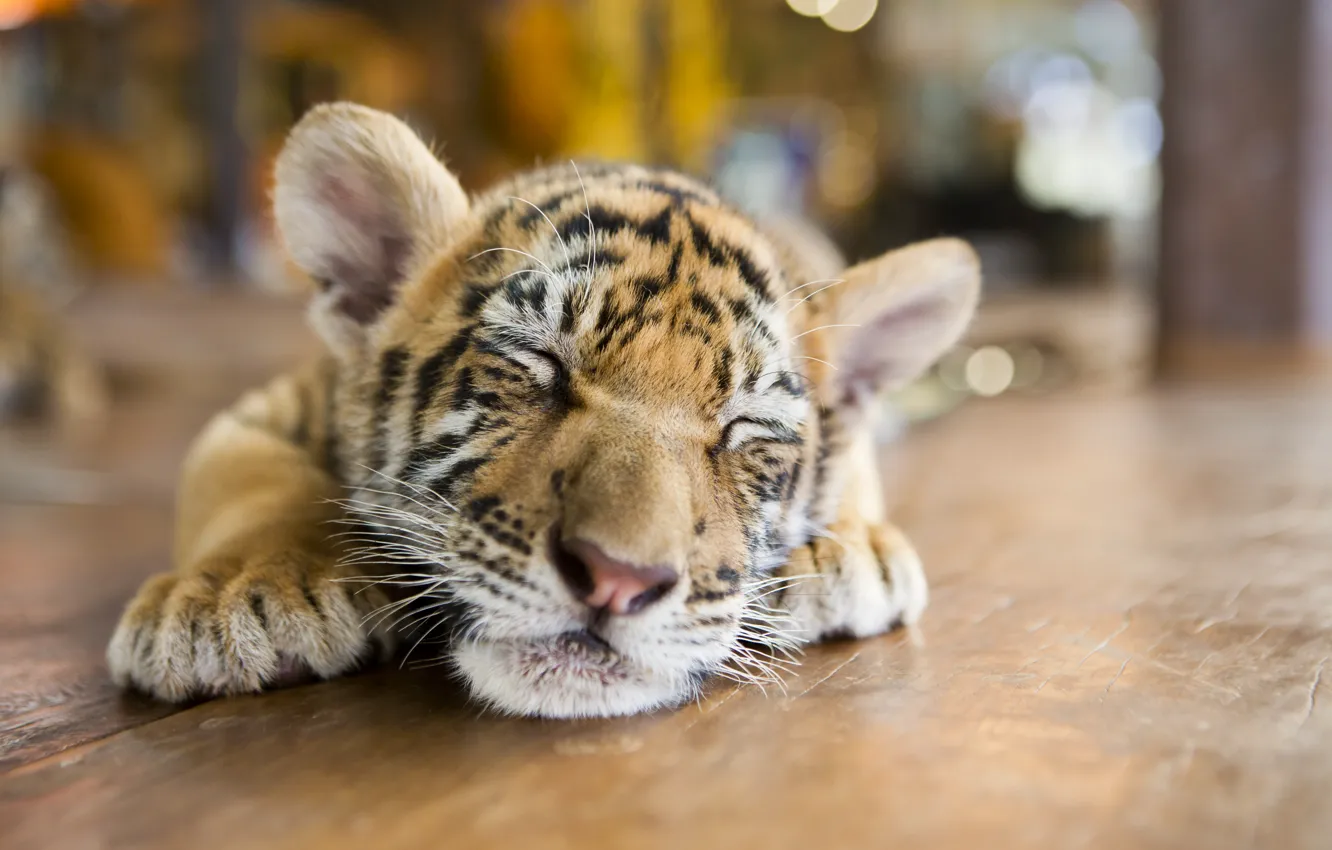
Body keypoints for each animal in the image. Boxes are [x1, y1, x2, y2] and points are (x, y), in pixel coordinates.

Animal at [106, 103, 980, 718]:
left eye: (742, 430)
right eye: (539, 364)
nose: (619, 581)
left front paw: (849, 550)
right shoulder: (262, 410)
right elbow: (248, 480)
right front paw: (234, 597)